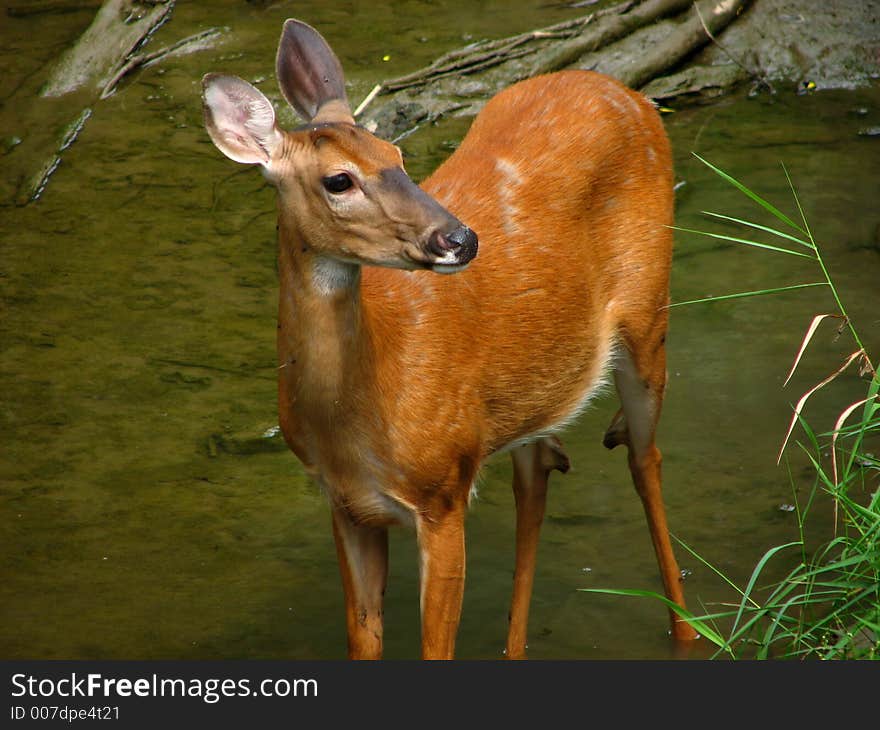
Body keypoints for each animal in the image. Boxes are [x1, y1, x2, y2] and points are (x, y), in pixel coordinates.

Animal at [201, 17, 700, 656]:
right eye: (338, 180)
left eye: (396, 153)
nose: (459, 238)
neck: (355, 419)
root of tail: (629, 93)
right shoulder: (347, 505)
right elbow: (364, 638)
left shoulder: (443, 489)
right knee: (537, 474)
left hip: (648, 313)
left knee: (645, 459)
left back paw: (688, 632)